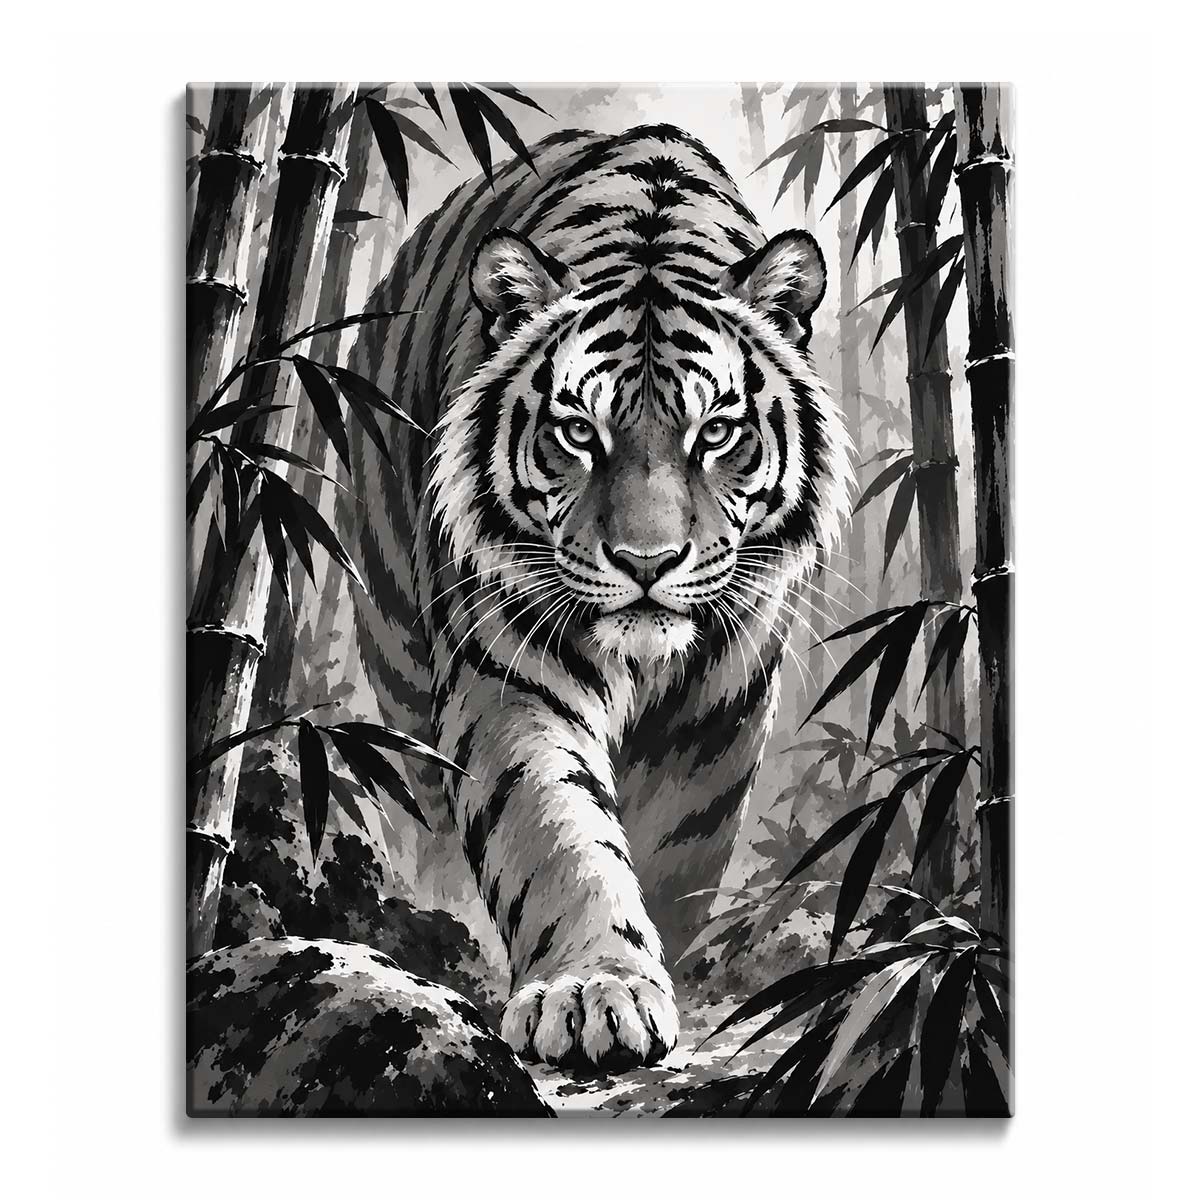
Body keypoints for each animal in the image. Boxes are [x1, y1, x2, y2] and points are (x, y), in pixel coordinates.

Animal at [344, 123, 853, 1072]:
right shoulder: (511, 674)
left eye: (715, 433)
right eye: (579, 432)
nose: (645, 561)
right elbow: (555, 832)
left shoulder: (719, 713)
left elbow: (673, 852)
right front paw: (592, 989)